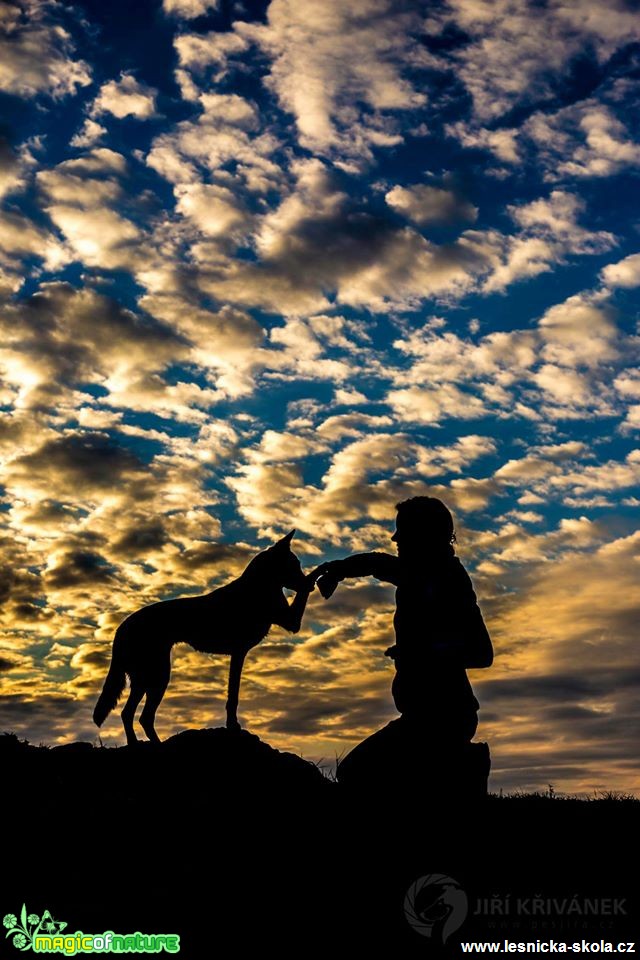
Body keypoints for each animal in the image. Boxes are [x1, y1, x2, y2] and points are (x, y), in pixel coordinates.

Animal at [92, 536, 318, 748]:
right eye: (294, 564)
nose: (310, 586)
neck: (259, 586)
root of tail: (121, 628)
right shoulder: (239, 652)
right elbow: (233, 696)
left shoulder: (290, 623)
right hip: (158, 675)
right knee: (142, 716)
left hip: (145, 679)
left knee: (129, 714)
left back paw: (137, 743)